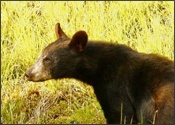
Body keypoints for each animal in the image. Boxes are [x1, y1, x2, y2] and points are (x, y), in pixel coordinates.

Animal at [25, 22, 174, 124]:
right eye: (40, 56)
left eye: (47, 59)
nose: (28, 73)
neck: (98, 69)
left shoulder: (114, 88)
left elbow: (121, 115)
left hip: (163, 105)